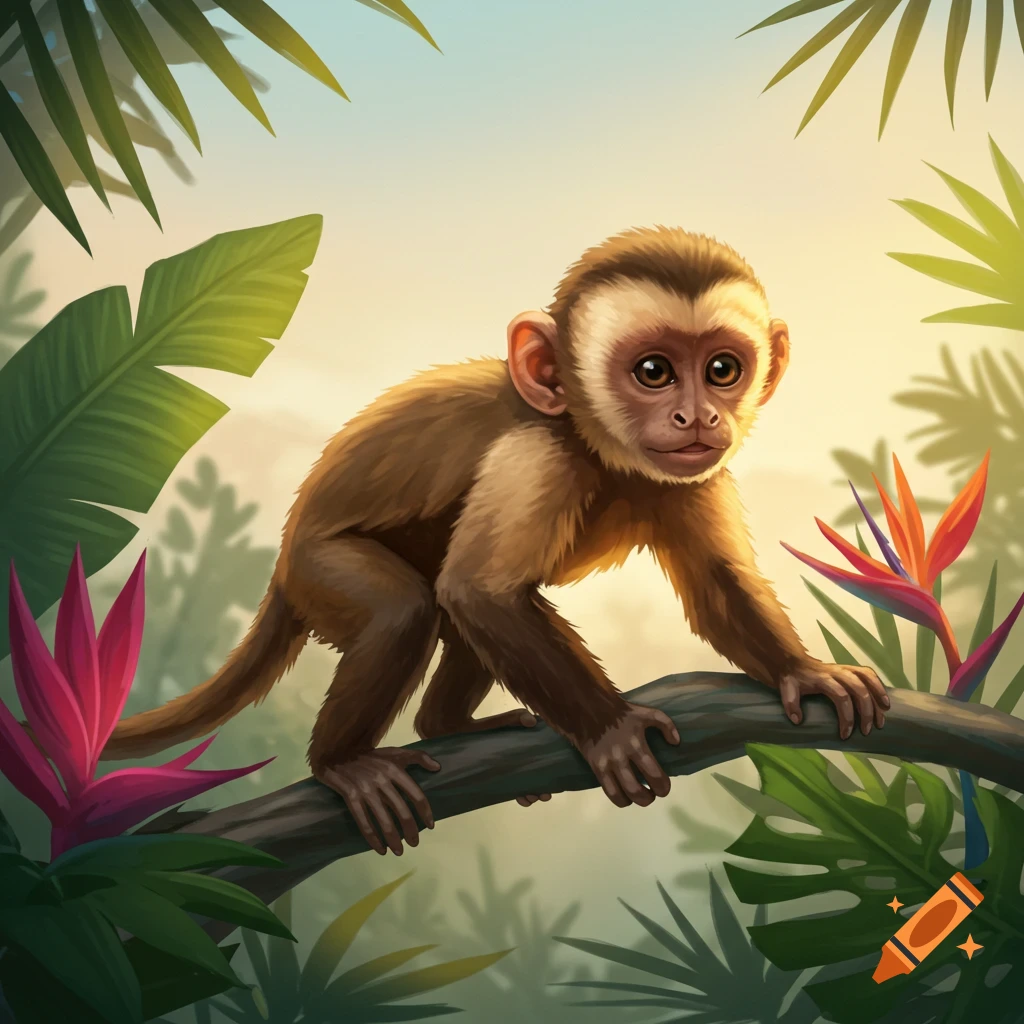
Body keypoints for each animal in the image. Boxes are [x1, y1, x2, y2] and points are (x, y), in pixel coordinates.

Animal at [98, 226, 889, 857]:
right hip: (321, 569)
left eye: (722, 369)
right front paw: (611, 730)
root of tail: (286, 552)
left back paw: (445, 724)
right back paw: (344, 764)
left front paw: (803, 672)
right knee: (410, 608)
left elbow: (717, 582)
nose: (697, 416)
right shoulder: (536, 454)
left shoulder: (693, 475)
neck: (594, 444)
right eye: (654, 371)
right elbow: (481, 591)